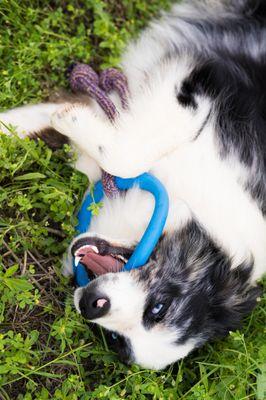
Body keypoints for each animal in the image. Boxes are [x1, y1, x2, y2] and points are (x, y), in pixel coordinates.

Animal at [1, 0, 264, 370]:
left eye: (117, 340)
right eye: (160, 307)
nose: (92, 303)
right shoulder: (206, 82)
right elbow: (126, 153)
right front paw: (68, 118)